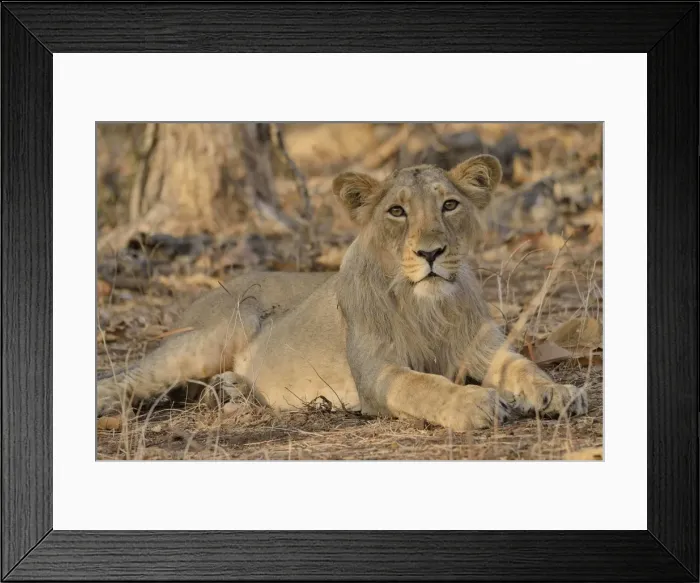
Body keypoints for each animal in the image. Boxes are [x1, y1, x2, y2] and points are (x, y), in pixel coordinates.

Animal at [97, 154, 588, 431]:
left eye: (449, 204)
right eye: (397, 211)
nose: (430, 252)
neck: (426, 307)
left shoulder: (486, 348)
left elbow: (524, 367)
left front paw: (560, 393)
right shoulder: (375, 374)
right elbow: (421, 385)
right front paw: (472, 403)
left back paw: (230, 391)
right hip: (221, 328)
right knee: (127, 377)